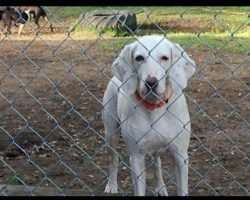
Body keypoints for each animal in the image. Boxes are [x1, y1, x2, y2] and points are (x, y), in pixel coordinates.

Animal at [102, 34, 196, 195]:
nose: (151, 83)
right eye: (139, 58)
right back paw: (112, 185)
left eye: (164, 58)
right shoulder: (137, 158)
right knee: (113, 159)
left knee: (157, 163)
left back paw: (161, 188)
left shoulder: (181, 156)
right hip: (110, 133)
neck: (155, 107)